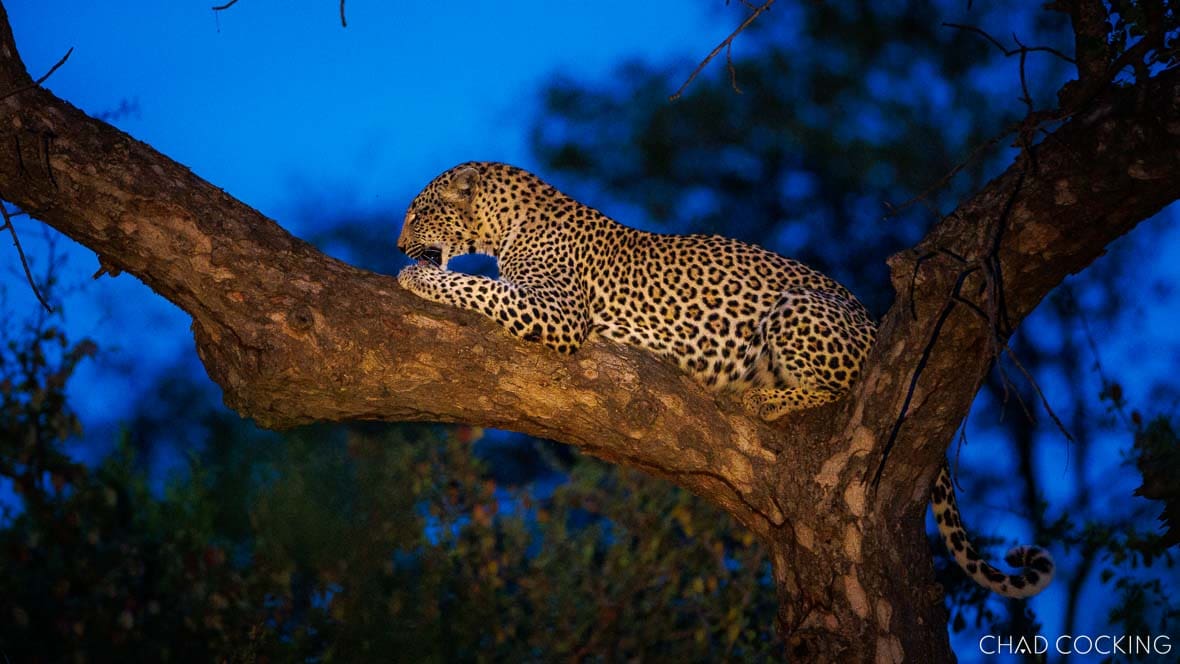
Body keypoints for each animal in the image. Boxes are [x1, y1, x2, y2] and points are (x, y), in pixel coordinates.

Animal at [396, 161, 1055, 598]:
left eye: (418, 211)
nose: (399, 244)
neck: (508, 221)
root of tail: (873, 316)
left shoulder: (558, 312)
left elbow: (479, 287)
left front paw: (414, 277)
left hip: (798, 309)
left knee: (841, 383)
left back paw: (761, 394)